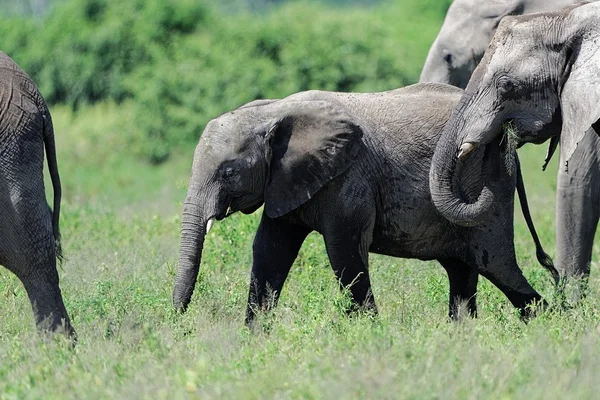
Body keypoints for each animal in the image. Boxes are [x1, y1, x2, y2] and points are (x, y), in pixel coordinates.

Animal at [171, 83, 556, 324]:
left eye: (228, 172)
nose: (178, 322)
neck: (273, 110)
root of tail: (509, 145)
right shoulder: (286, 180)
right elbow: (270, 250)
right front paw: (254, 337)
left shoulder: (348, 178)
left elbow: (345, 252)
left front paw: (369, 333)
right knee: (461, 271)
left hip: (487, 188)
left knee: (498, 265)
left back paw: (548, 325)